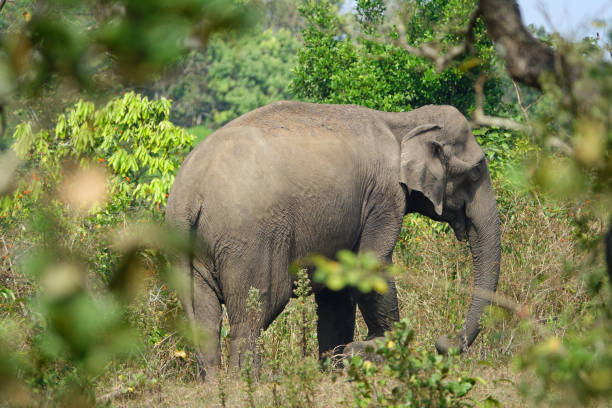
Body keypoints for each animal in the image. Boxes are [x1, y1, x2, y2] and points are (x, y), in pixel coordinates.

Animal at [165, 101, 500, 380]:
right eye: (475, 174)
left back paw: (214, 384)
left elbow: (338, 284)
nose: (445, 342)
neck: (404, 122)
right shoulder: (383, 196)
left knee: (206, 317)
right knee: (260, 306)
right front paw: (380, 348)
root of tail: (187, 194)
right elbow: (372, 264)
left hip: (198, 248)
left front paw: (336, 366)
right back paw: (247, 383)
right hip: (249, 240)